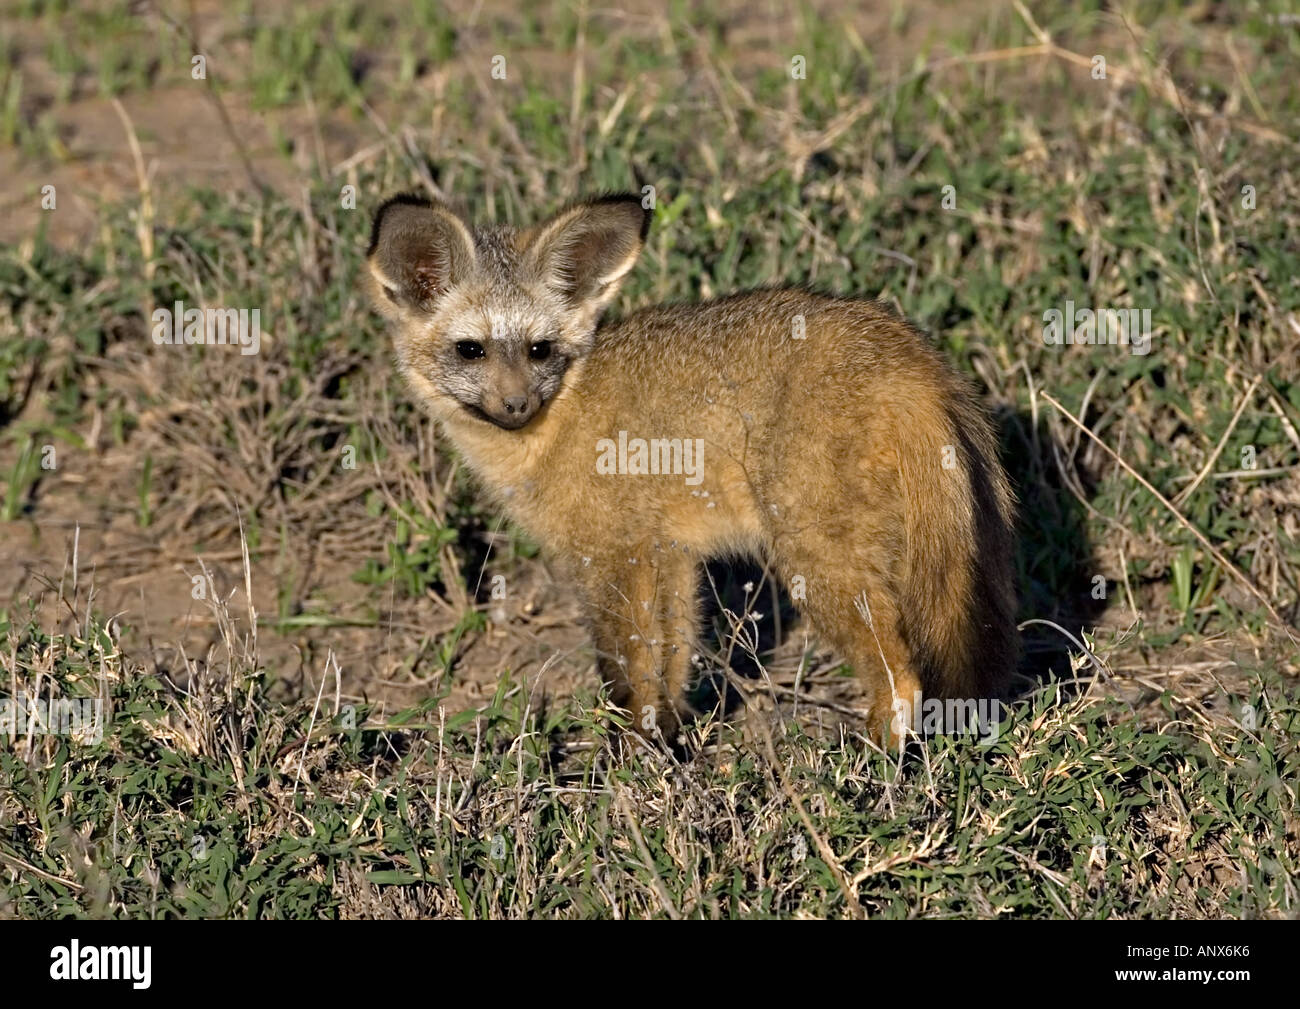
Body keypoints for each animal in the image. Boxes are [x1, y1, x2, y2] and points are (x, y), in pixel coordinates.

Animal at [365, 191, 1017, 742]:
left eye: (538, 350)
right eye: (470, 350)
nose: (517, 405)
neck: (558, 422)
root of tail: (907, 356)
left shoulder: (612, 556)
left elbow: (625, 668)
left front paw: (627, 756)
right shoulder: (670, 553)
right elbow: (669, 664)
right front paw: (668, 743)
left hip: (815, 564)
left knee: (900, 679)